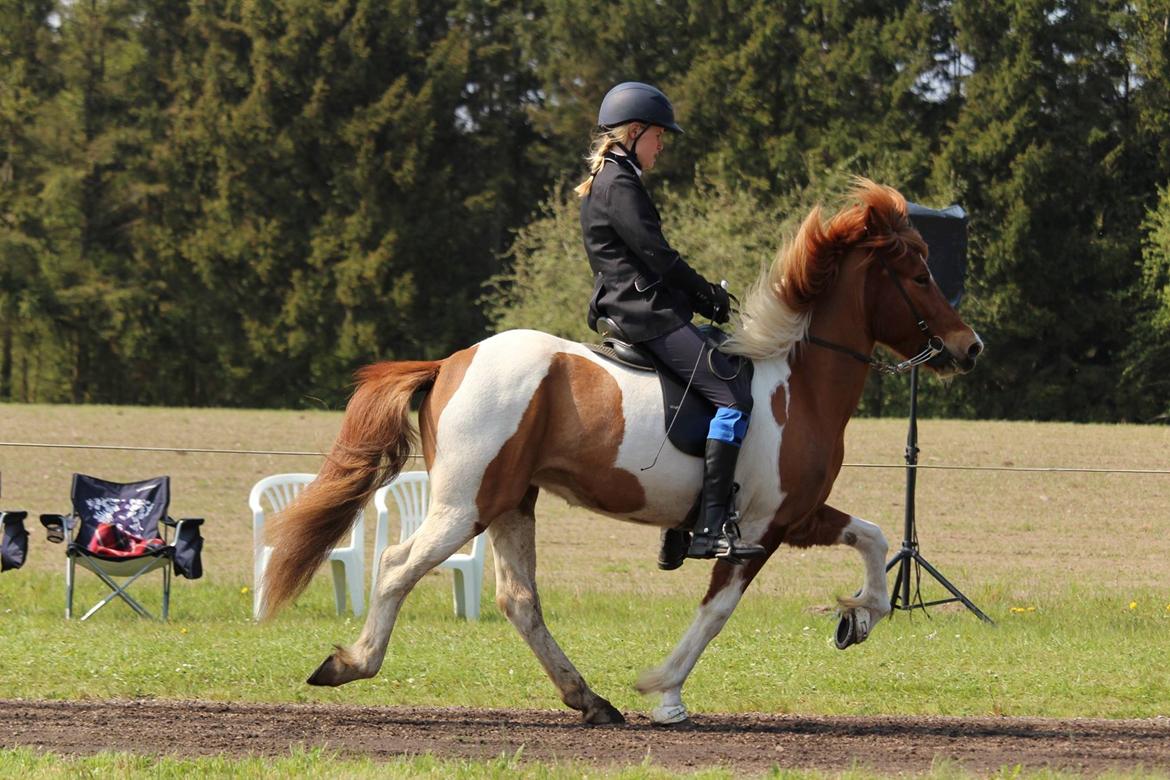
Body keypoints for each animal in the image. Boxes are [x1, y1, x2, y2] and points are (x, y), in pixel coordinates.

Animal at [260, 176, 982, 725]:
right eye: (919, 274)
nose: (970, 347)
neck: (797, 381)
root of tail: (449, 362)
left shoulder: (797, 515)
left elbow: (872, 535)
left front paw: (859, 619)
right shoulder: (759, 528)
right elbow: (717, 611)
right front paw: (666, 692)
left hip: (511, 502)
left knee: (518, 600)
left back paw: (589, 700)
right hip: (465, 504)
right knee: (399, 565)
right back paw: (352, 662)